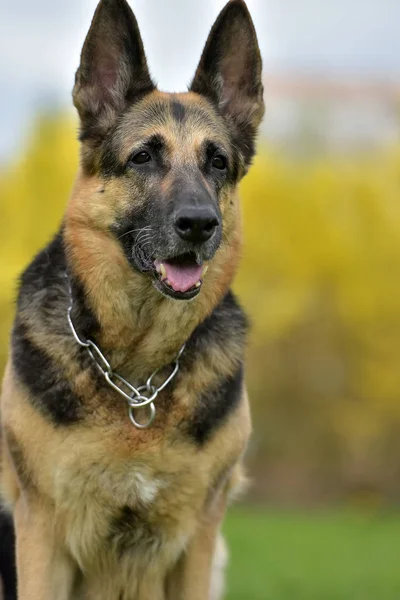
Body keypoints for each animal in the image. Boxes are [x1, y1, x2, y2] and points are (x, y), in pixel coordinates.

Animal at [0, 1, 266, 596]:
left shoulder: (197, 543)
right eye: (143, 157)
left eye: (217, 162)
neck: (137, 378)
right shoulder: (41, 535)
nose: (199, 224)